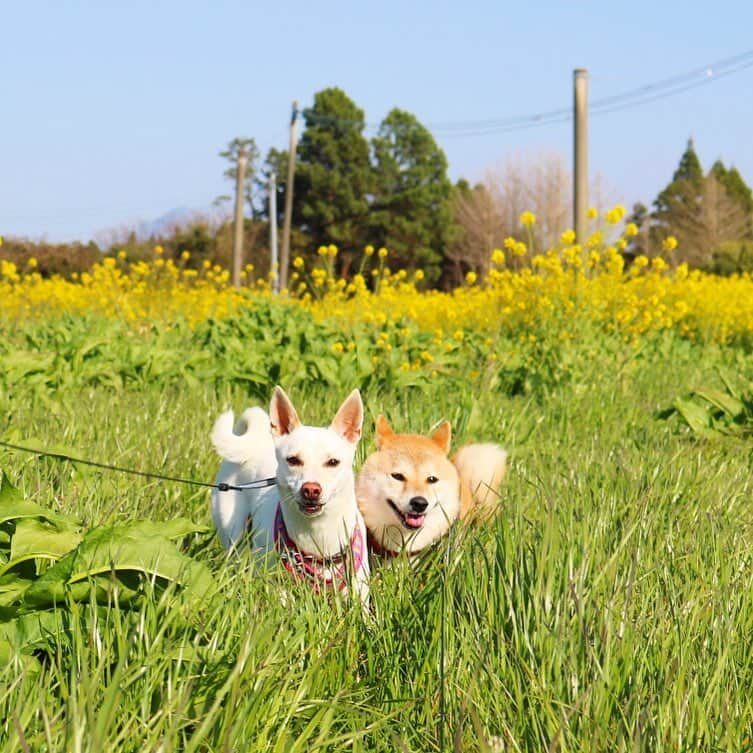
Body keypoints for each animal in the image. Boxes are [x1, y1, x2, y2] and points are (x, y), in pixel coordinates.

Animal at [210, 388, 368, 600]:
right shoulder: (277, 585)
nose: (311, 489)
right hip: (234, 533)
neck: (318, 533)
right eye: (293, 460)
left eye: (333, 462)